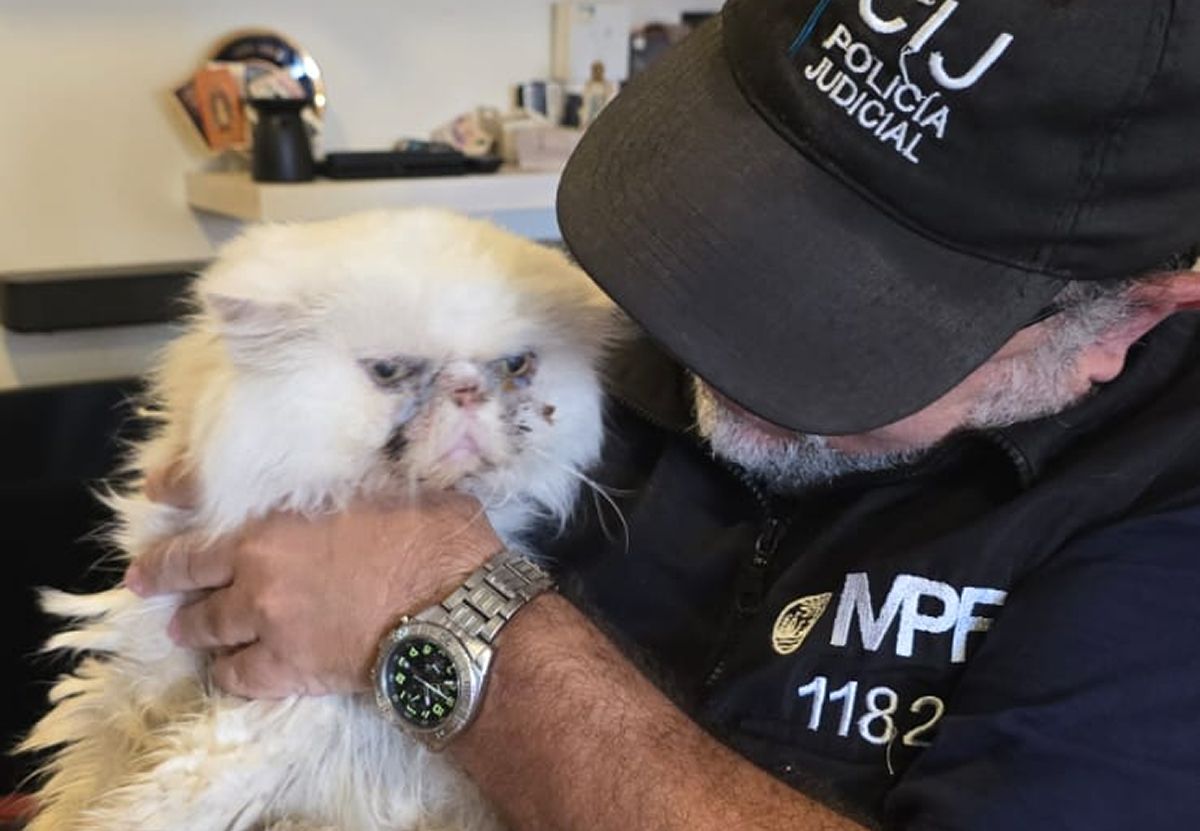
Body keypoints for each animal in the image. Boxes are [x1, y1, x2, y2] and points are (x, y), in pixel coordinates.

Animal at [20, 209, 620, 831]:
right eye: (387, 371)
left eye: (516, 365)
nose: (469, 390)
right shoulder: (138, 667)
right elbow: (87, 780)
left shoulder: (279, 717)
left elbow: (157, 801)